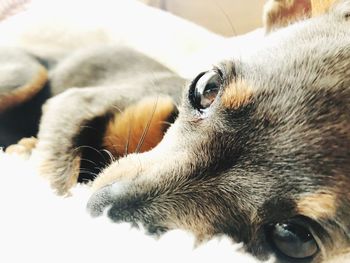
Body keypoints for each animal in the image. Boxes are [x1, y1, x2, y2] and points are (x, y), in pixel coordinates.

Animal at [0, 0, 348, 262]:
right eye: (207, 86)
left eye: (292, 238)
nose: (97, 212)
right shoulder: (75, 101)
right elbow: (55, 177)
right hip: (27, 74)